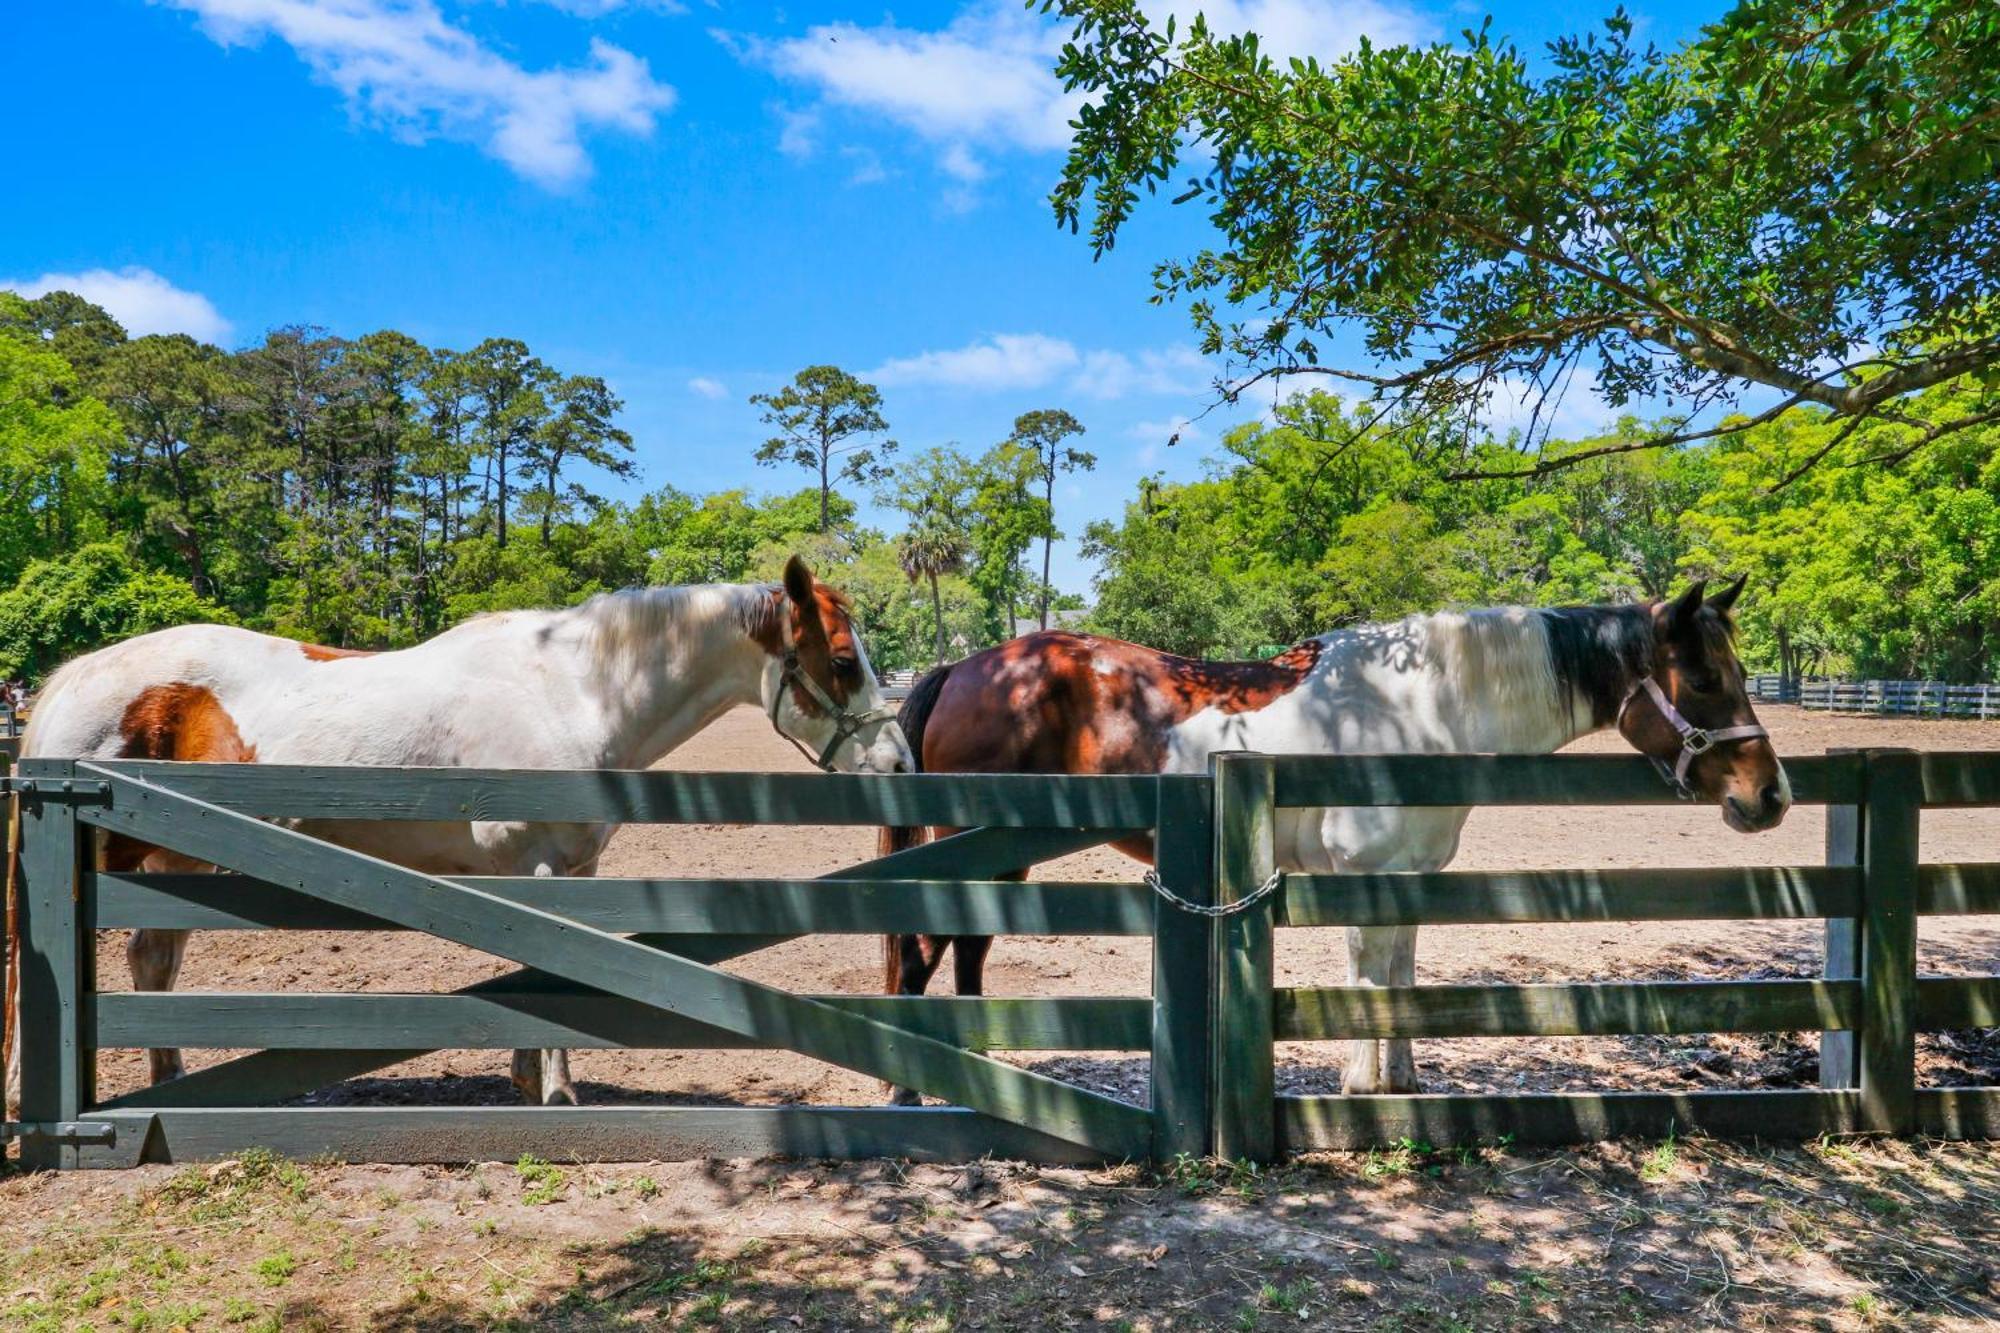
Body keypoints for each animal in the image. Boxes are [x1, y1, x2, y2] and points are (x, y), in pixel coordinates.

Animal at [5, 556, 916, 1104]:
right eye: (843, 661)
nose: (901, 760)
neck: (573, 690)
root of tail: (75, 678)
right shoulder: (539, 869)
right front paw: (557, 1091)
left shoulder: (574, 871)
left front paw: (526, 1075)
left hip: (174, 860)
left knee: (152, 963)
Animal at [884, 576, 1792, 1096]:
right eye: (1703, 676)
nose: (1770, 794)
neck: (1423, 707)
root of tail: (963, 668)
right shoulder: (1364, 874)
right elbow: (1366, 982)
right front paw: (1361, 1086)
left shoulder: (1411, 878)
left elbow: (1400, 979)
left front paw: (1403, 1082)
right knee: (924, 955)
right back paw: (913, 1091)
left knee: (963, 953)